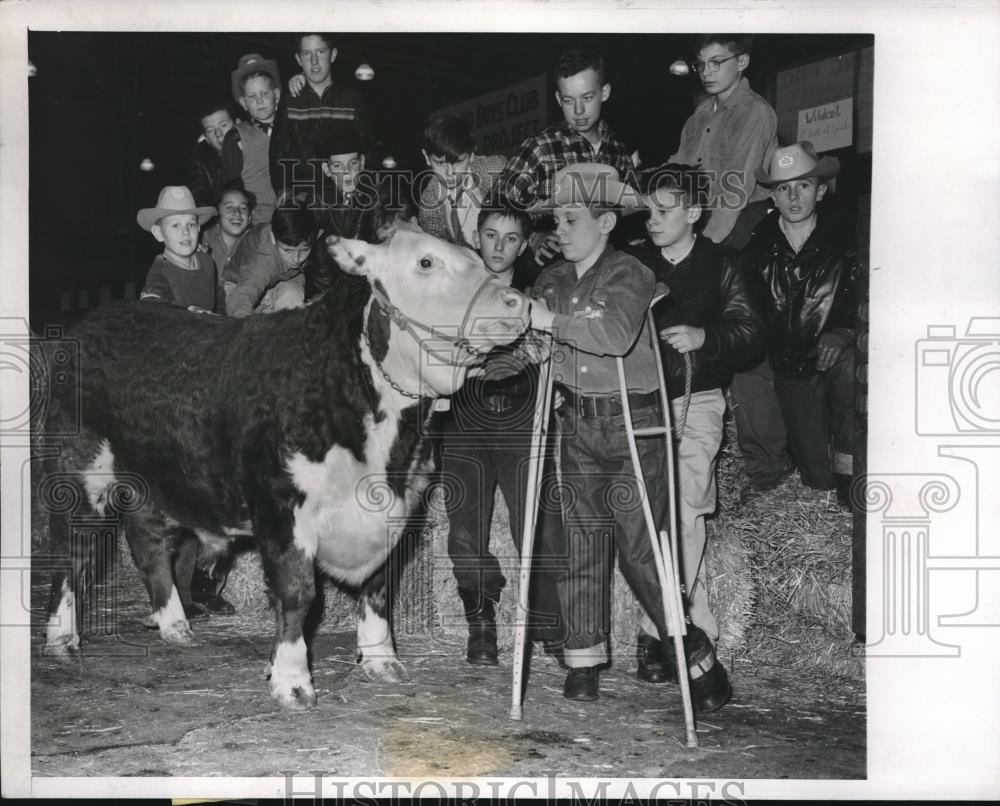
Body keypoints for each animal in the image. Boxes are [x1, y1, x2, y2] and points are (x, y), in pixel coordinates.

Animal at [41, 230, 532, 712]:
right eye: (426, 262)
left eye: (477, 259)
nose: (516, 302)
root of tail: (101, 317)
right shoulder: (282, 507)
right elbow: (298, 594)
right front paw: (292, 680)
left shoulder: (397, 508)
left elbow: (378, 587)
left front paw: (381, 660)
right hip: (77, 471)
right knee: (72, 552)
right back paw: (62, 637)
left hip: (158, 480)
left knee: (147, 541)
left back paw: (175, 625)